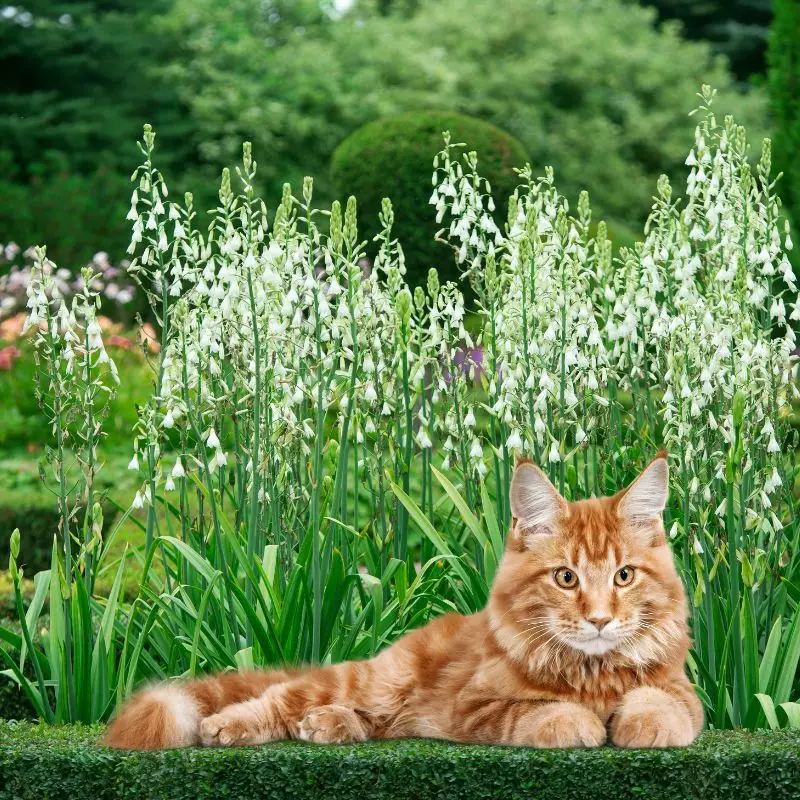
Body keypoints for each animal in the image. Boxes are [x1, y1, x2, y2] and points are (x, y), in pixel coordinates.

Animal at [104, 456, 700, 752]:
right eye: (566, 577)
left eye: (623, 576)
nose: (599, 619)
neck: (590, 674)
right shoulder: (474, 707)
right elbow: (541, 711)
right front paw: (579, 723)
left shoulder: (683, 693)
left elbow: (661, 704)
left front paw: (642, 723)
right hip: (374, 681)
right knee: (278, 698)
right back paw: (227, 726)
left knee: (364, 722)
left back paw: (328, 726)